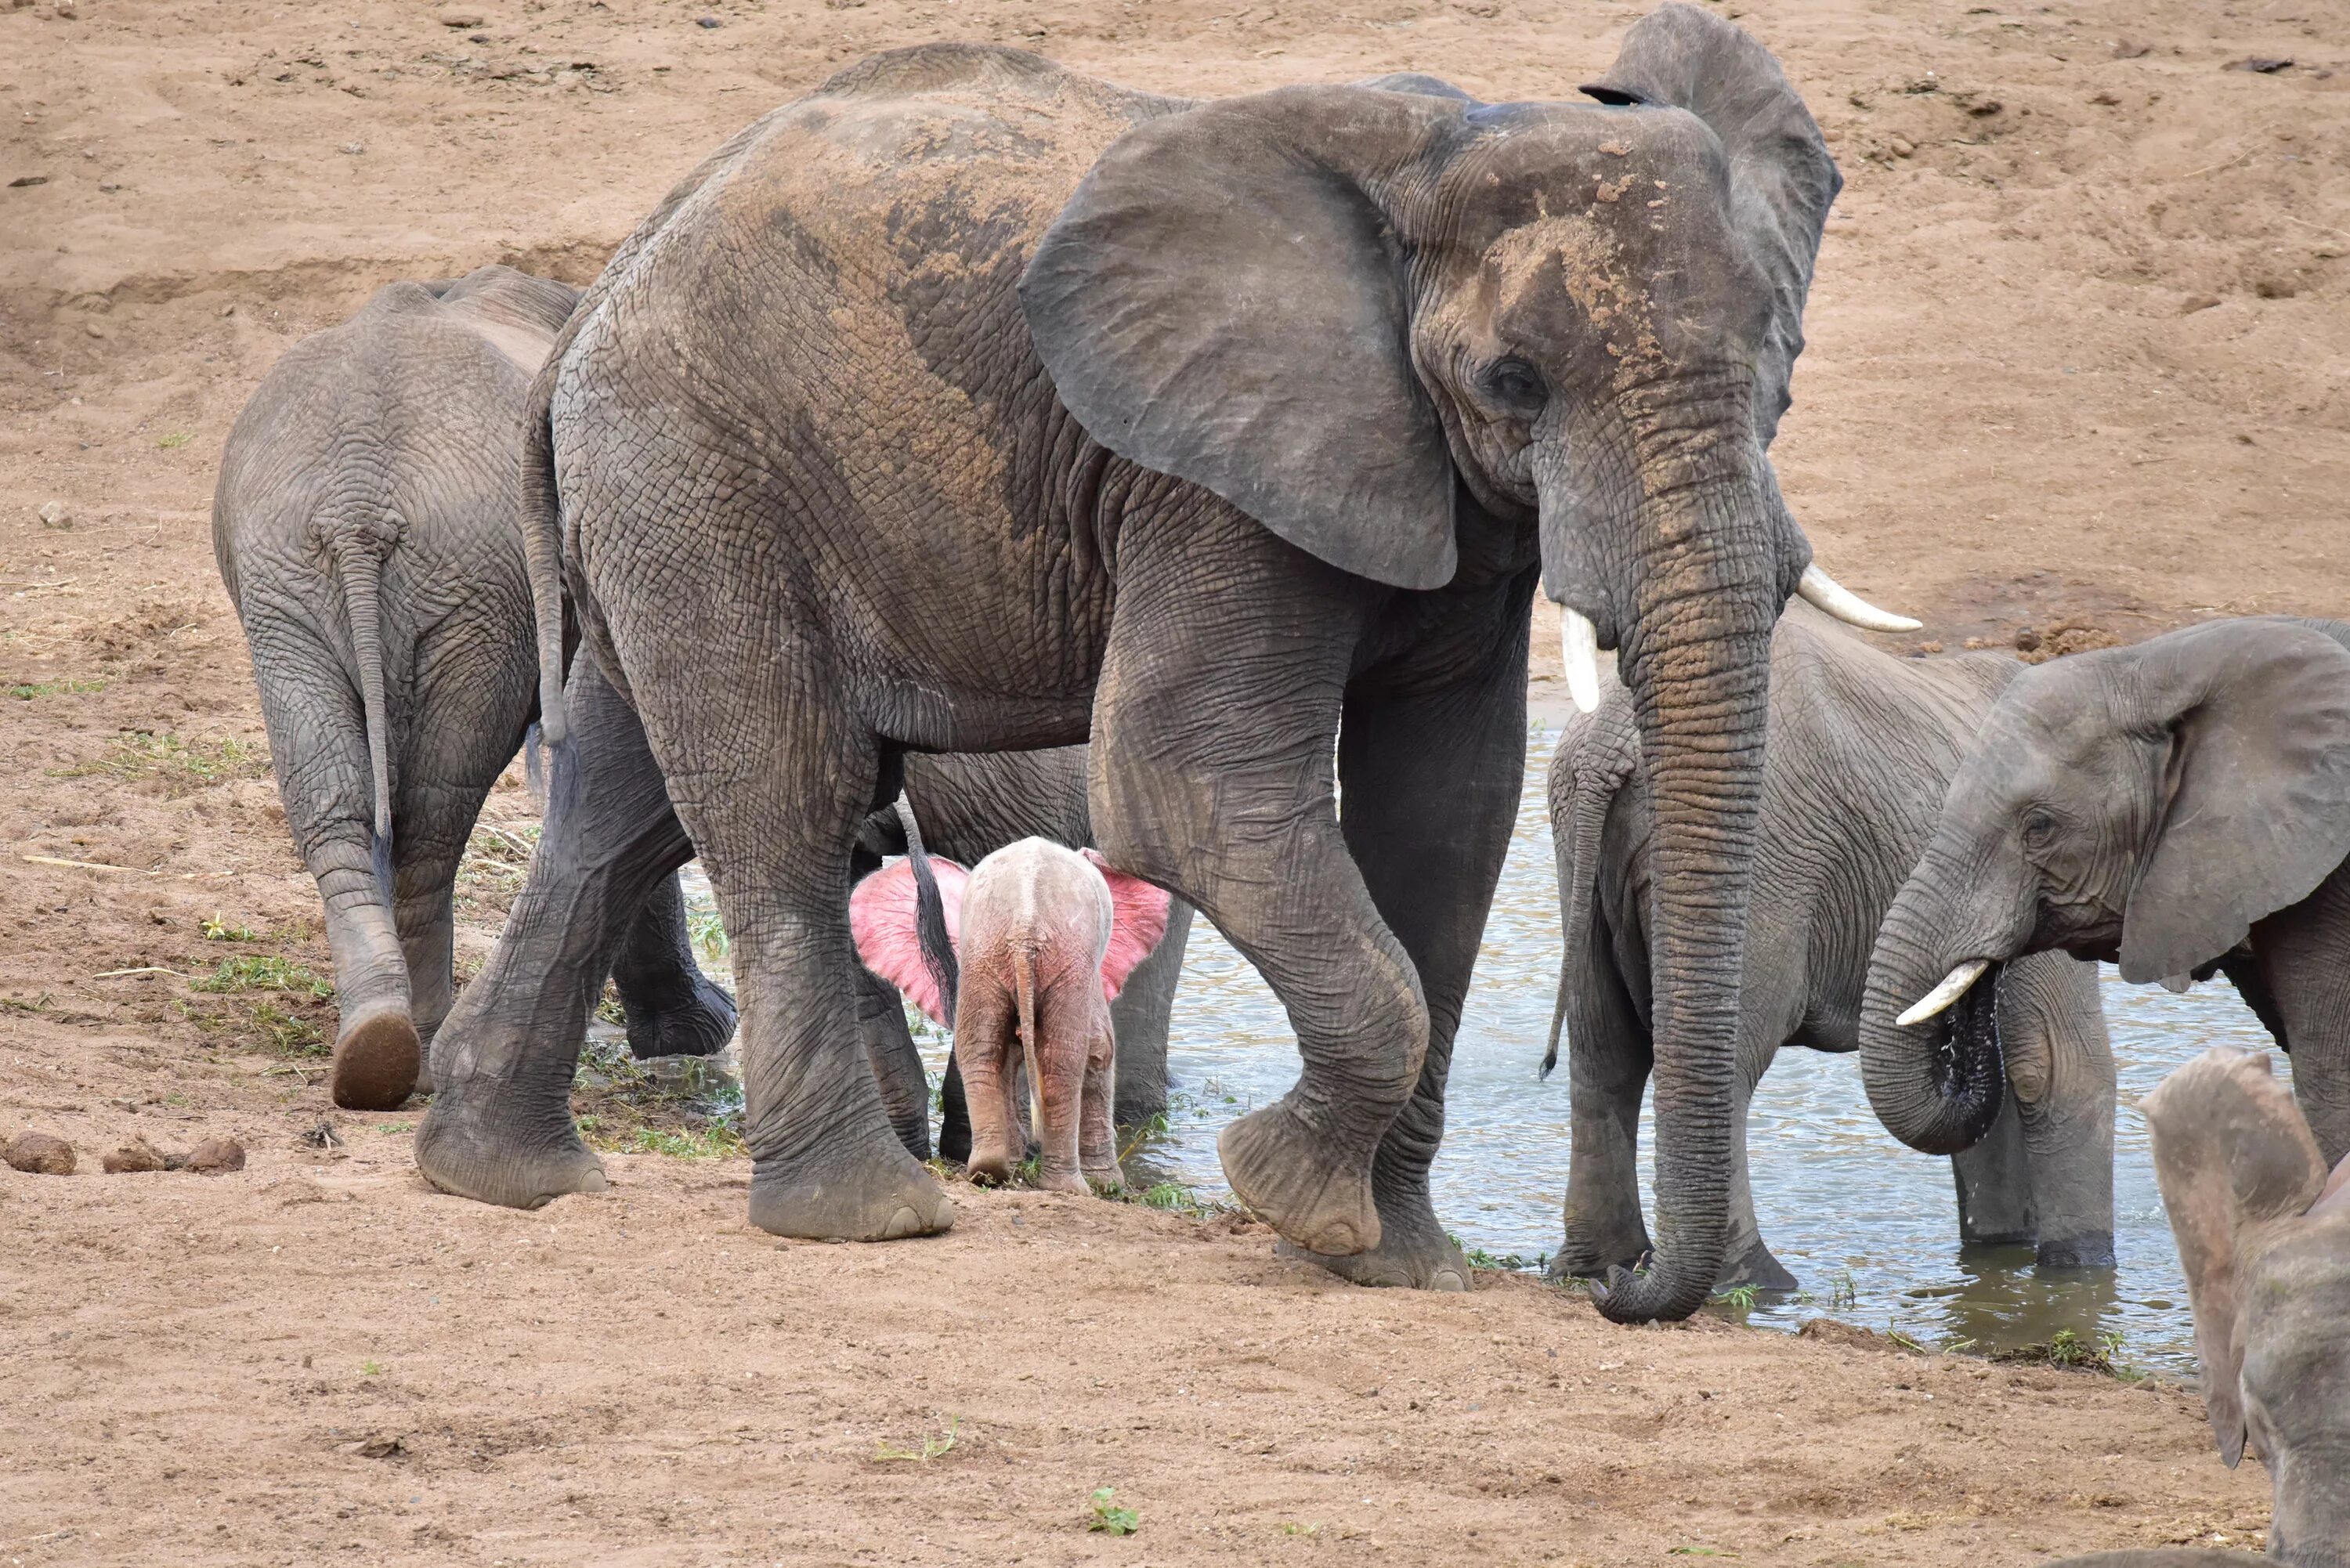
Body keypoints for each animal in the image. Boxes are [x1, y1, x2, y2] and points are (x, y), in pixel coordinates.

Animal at [219, 266, 738, 1114]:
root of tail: (356, 503)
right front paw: (699, 1035)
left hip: (315, 580)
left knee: (347, 798)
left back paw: (376, 1048)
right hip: (443, 583)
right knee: (433, 811)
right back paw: (411, 1049)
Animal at [855, 832, 1166, 1189]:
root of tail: (1024, 924)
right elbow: (1100, 1048)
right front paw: (1108, 1185)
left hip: (985, 954)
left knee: (983, 1049)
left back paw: (989, 1170)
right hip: (1065, 957)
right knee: (1062, 1059)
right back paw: (1066, 1187)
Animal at [1551, 602, 2124, 1288]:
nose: (1975, 990)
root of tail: (1608, 738)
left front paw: (1999, 1258)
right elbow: (2057, 1067)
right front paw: (2080, 1275)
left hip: (1579, 850)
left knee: (1604, 1051)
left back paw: (1600, 1267)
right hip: (1760, 861)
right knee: (1724, 1060)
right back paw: (1760, 1283)